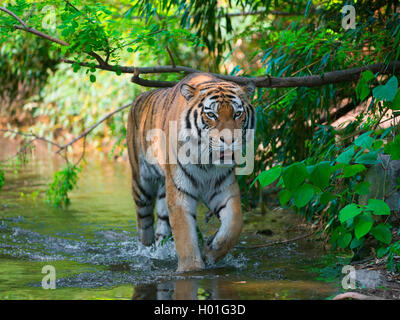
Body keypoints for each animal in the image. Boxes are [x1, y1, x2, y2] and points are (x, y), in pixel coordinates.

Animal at [126, 72, 255, 272]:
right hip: (142, 183)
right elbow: (184, 234)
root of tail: (138, 97)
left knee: (162, 225)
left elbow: (234, 224)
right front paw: (191, 269)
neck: (207, 162)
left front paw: (210, 251)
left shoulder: (223, 187)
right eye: (211, 115)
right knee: (144, 221)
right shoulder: (180, 191)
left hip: (164, 188)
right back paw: (146, 252)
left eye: (237, 114)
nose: (229, 141)